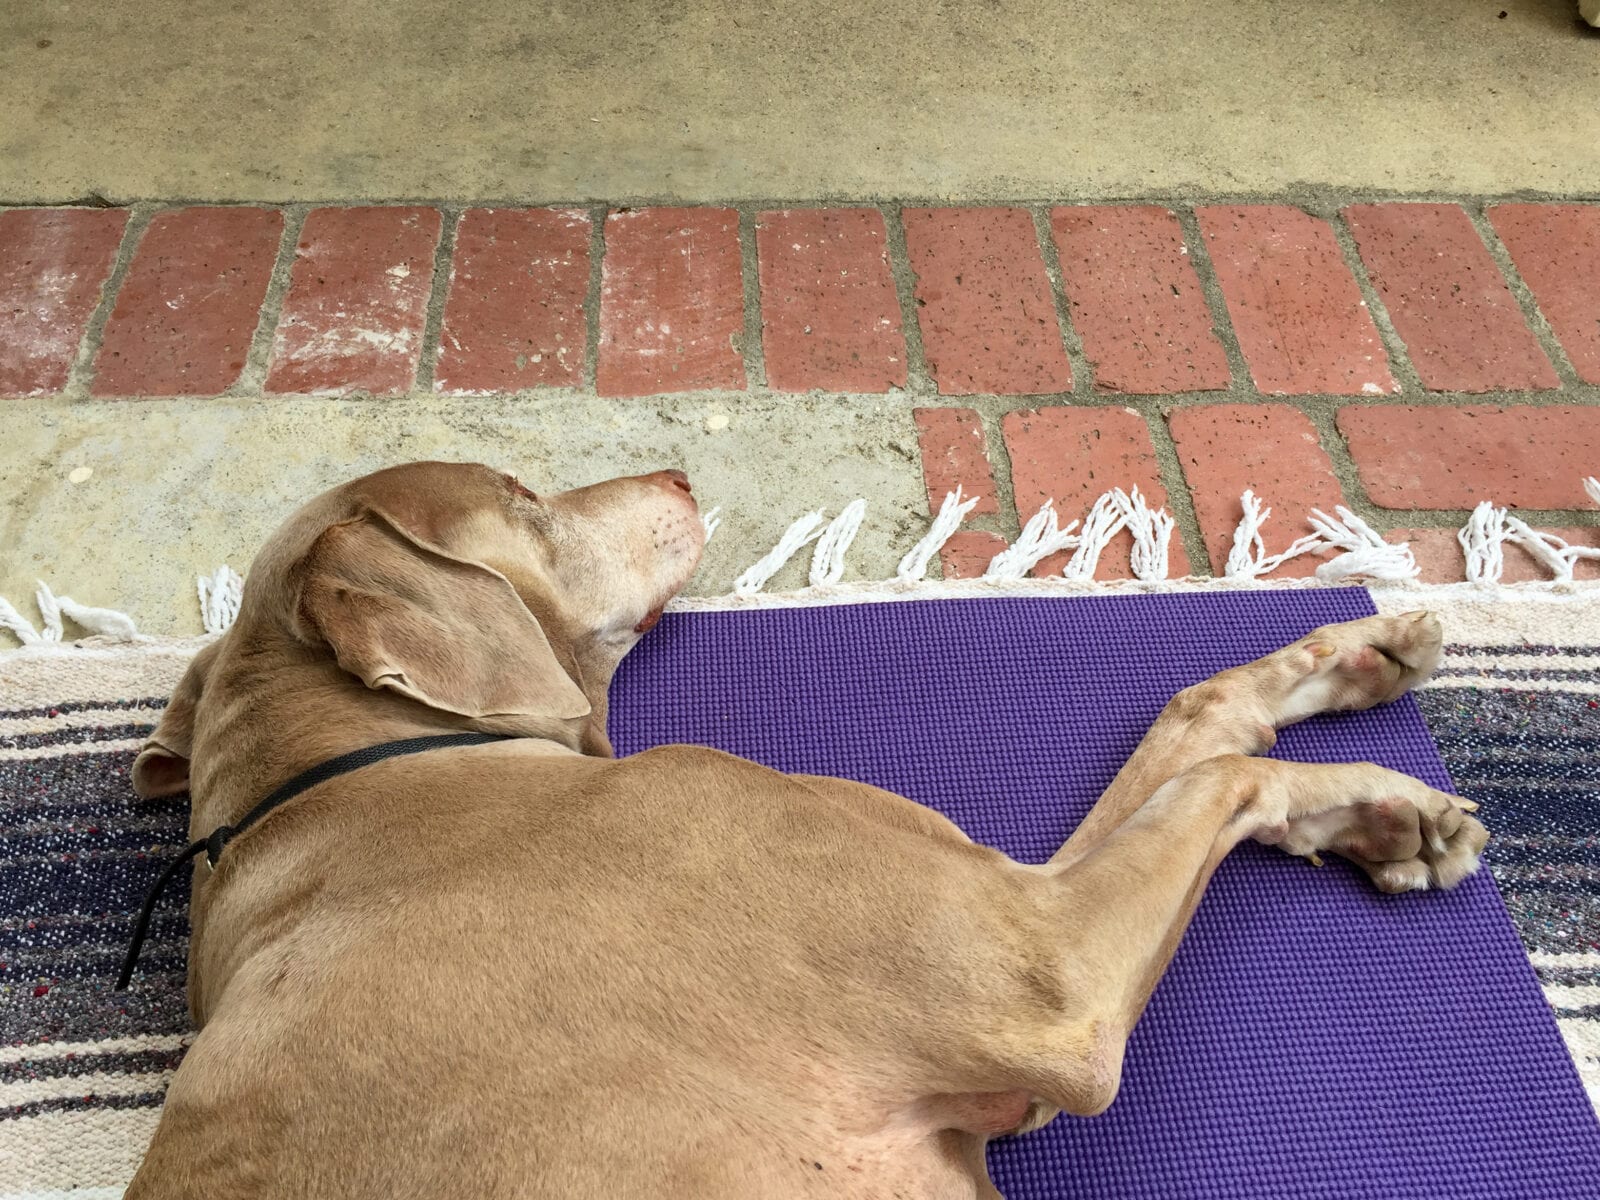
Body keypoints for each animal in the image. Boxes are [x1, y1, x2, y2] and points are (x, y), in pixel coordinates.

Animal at [121, 454, 1484, 1196]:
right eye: (517, 492)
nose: (677, 470)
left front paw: (1347, 666)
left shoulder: (1011, 900)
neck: (370, 769)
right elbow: (1220, 778)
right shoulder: (1049, 983)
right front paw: (1383, 799)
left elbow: (1189, 721)